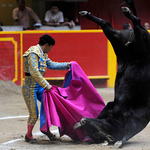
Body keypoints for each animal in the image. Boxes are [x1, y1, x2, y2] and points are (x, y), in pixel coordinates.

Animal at [74, 3, 150, 148]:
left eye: (96, 132)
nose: (83, 120)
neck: (114, 120)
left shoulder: (135, 120)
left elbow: (129, 131)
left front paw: (119, 142)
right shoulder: (110, 107)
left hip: (138, 44)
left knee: (134, 23)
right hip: (122, 44)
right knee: (108, 23)